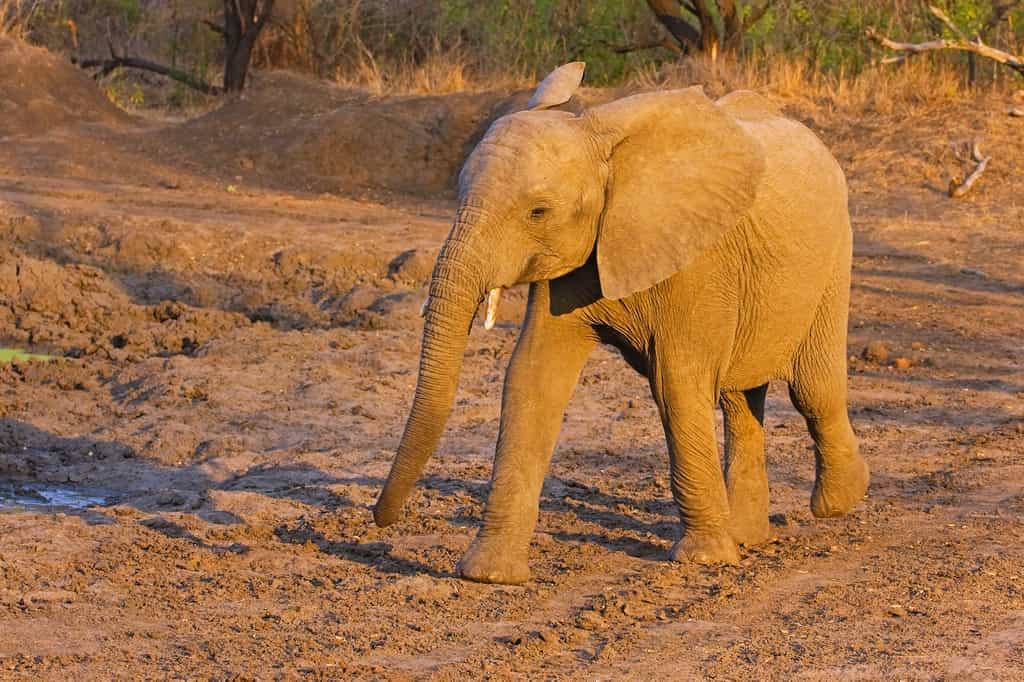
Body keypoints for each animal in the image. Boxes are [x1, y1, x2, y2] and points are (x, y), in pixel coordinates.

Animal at [373, 62, 870, 584]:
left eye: (538, 212)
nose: (380, 519)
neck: (601, 143)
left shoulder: (698, 258)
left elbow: (677, 383)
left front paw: (704, 560)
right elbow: (533, 376)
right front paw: (487, 575)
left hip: (834, 259)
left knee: (812, 388)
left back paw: (840, 501)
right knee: (740, 396)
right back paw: (747, 536)